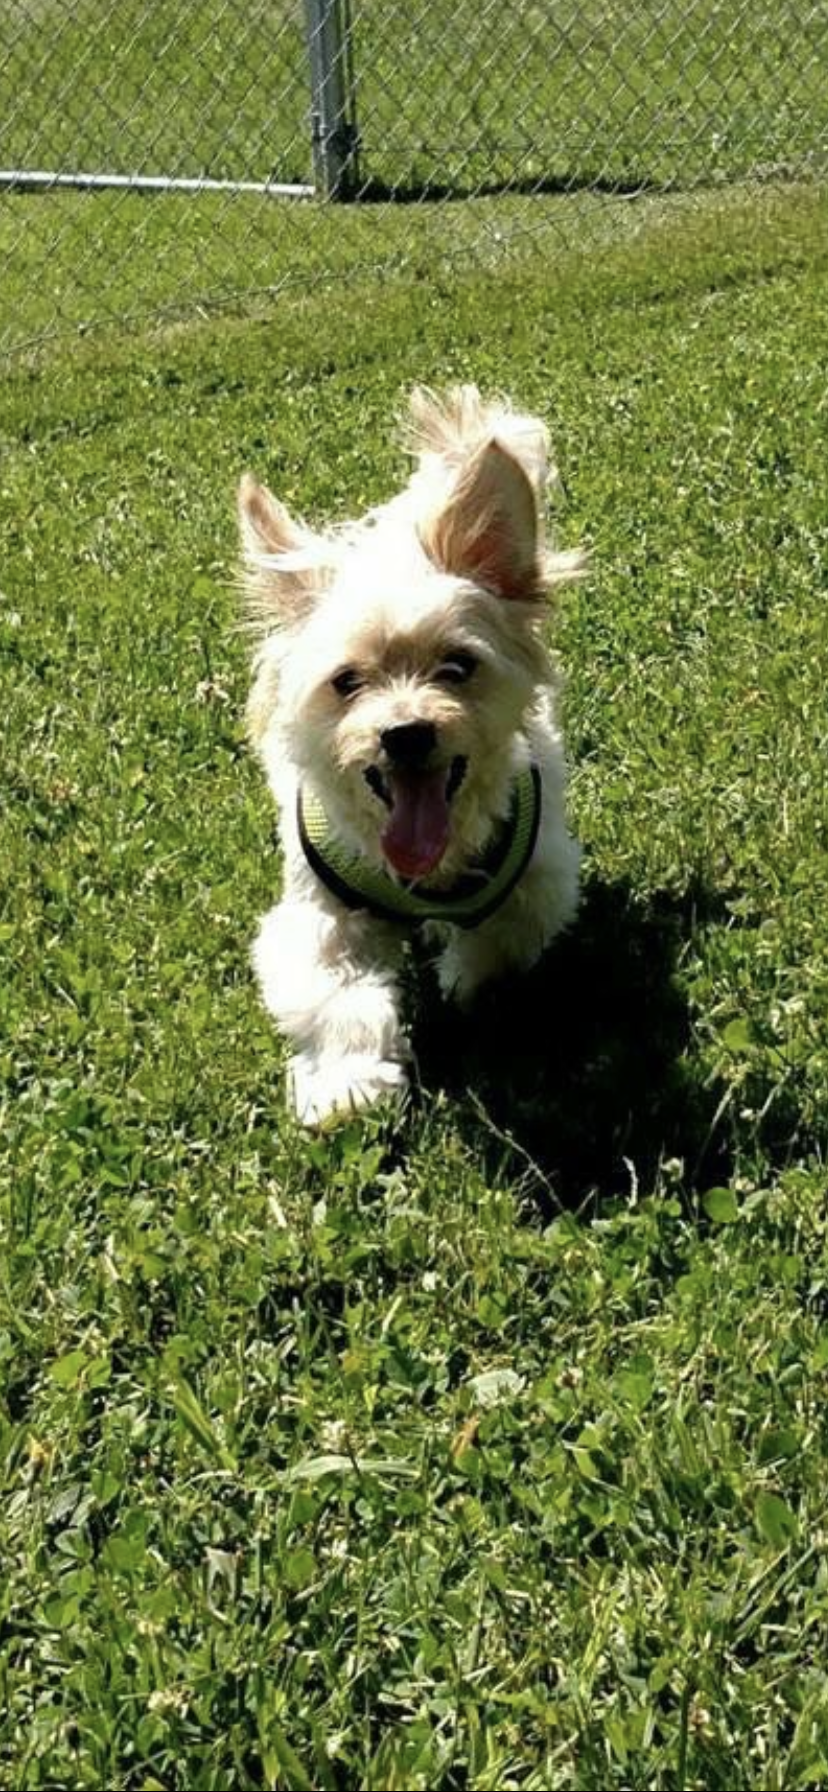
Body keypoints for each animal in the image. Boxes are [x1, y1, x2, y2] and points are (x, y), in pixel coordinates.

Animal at [238, 385, 585, 1127]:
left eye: (457, 666)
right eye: (346, 682)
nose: (405, 732)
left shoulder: (536, 874)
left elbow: (500, 941)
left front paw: (461, 978)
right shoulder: (319, 914)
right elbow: (336, 996)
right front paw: (349, 1086)